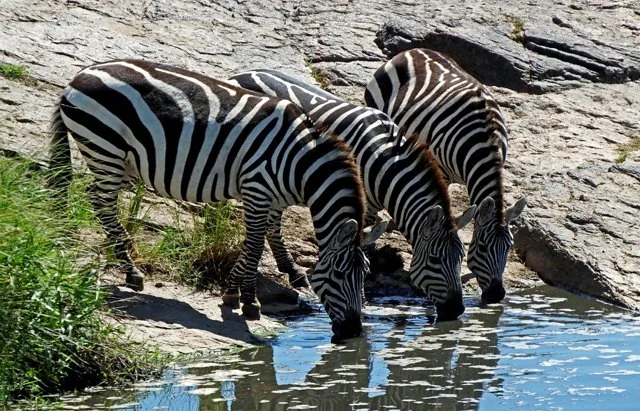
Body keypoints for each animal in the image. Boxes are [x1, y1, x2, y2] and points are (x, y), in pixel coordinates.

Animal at [48, 59, 386, 342]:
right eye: (339, 275)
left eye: (366, 275)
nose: (353, 331)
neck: (299, 164)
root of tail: (78, 76)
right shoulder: (257, 188)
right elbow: (255, 246)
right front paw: (249, 301)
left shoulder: (271, 199)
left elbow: (256, 242)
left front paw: (232, 291)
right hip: (106, 149)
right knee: (101, 203)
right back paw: (131, 271)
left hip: (110, 155)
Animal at [227, 69, 477, 321]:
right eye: (435, 260)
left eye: (461, 258)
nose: (456, 311)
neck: (383, 161)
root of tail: (244, 73)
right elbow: (360, 244)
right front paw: (362, 297)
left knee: (273, 221)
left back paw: (292, 269)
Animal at [365, 48, 527, 304]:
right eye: (482, 247)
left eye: (509, 247)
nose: (496, 295)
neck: (482, 145)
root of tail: (413, 50)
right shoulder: (440, 168)